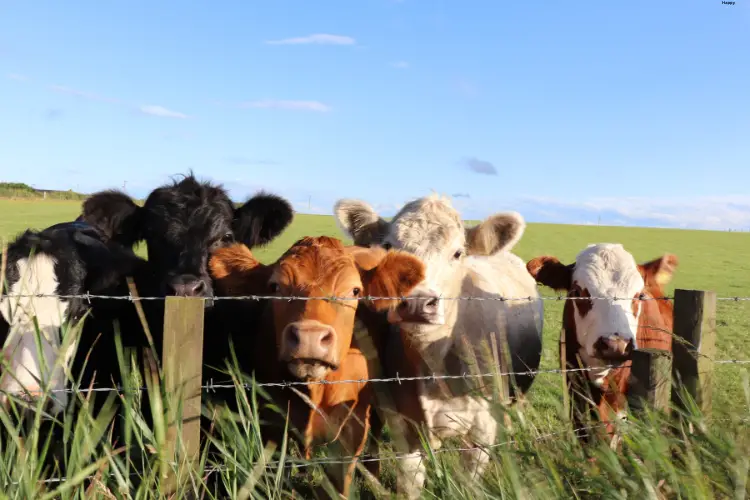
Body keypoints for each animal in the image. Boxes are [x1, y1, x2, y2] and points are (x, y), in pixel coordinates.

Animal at [334, 194, 548, 496]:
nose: (416, 303)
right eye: (388, 247)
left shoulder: (482, 428)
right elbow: (410, 484)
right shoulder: (402, 425)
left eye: (457, 253)